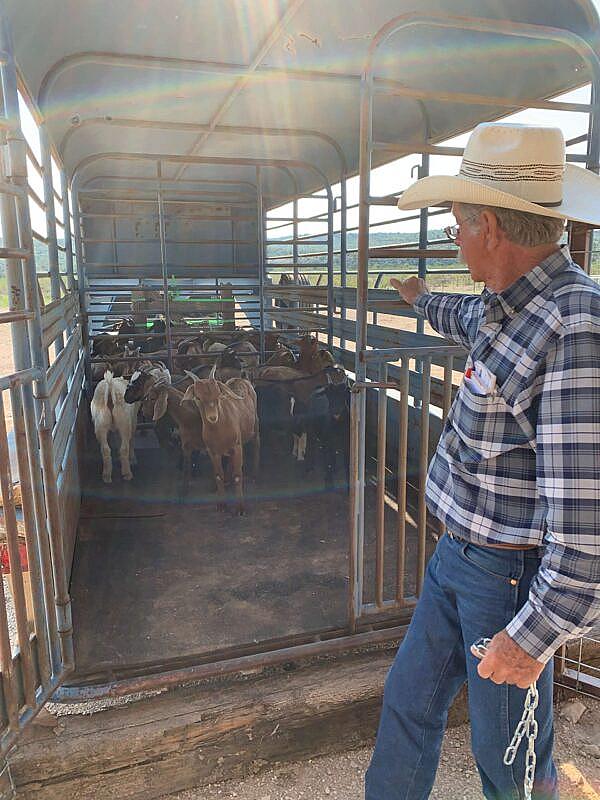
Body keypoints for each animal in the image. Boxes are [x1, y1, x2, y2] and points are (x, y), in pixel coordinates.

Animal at [183, 367, 259, 514]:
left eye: (218, 394)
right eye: (198, 398)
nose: (213, 417)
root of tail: (241, 378)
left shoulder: (237, 446)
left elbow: (238, 476)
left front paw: (240, 508)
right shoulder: (212, 451)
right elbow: (218, 475)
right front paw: (221, 505)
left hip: (256, 425)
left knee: (256, 444)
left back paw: (254, 475)